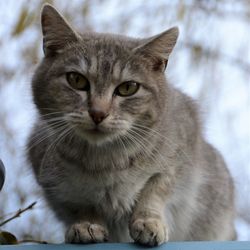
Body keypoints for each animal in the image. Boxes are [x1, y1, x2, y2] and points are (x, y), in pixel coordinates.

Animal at [27, 3, 236, 246]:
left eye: (128, 88)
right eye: (76, 80)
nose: (98, 113)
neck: (104, 161)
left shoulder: (180, 156)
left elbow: (154, 191)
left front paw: (149, 222)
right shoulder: (54, 181)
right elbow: (82, 204)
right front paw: (87, 225)